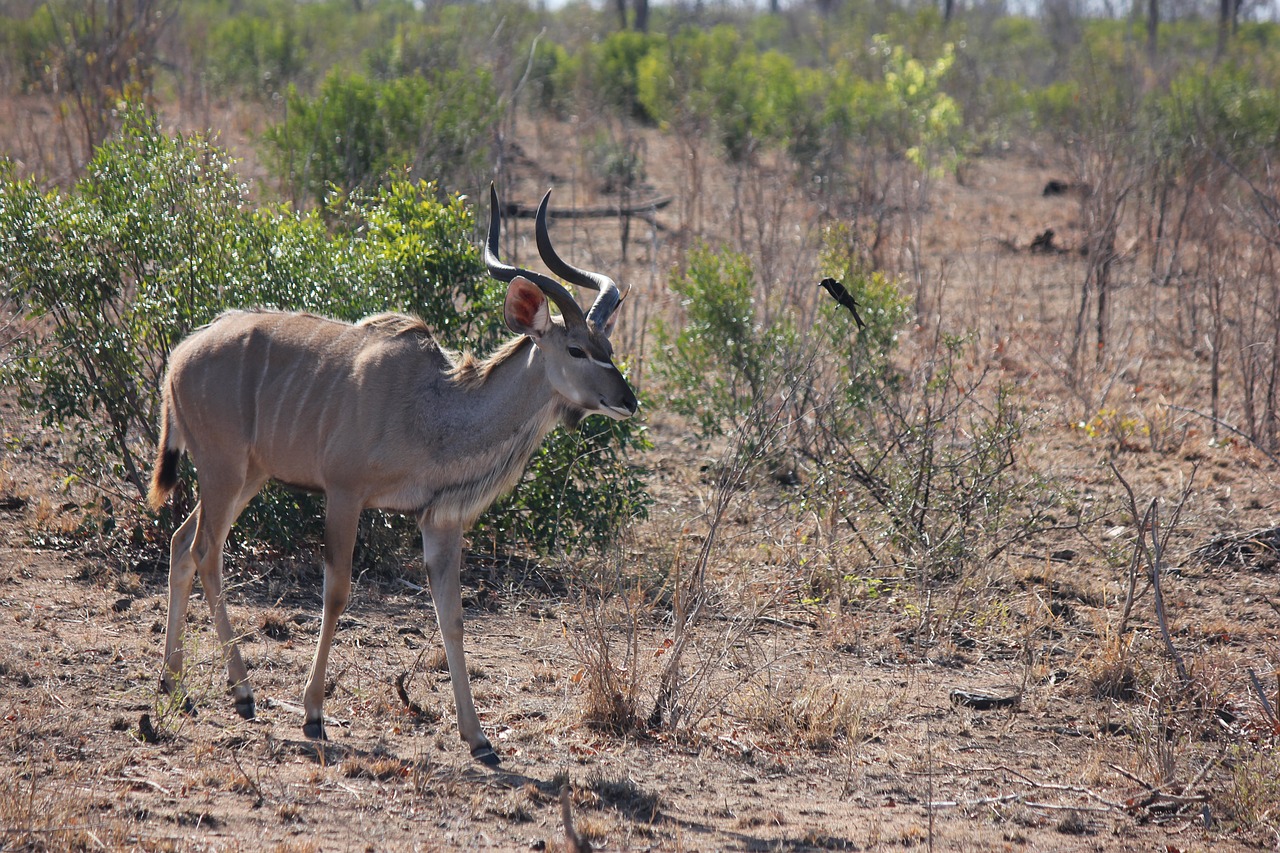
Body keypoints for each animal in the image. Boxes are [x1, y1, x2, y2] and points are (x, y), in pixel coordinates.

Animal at [147, 188, 637, 763]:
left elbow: (452, 616)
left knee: (182, 544)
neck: (434, 406)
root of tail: (179, 356)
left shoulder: (439, 520)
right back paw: (241, 692)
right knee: (207, 552)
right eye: (577, 349)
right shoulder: (344, 494)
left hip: (246, 476)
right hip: (223, 469)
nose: (628, 400)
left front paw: (479, 739)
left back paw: (176, 687)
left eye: (608, 348)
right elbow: (337, 593)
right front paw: (313, 715)